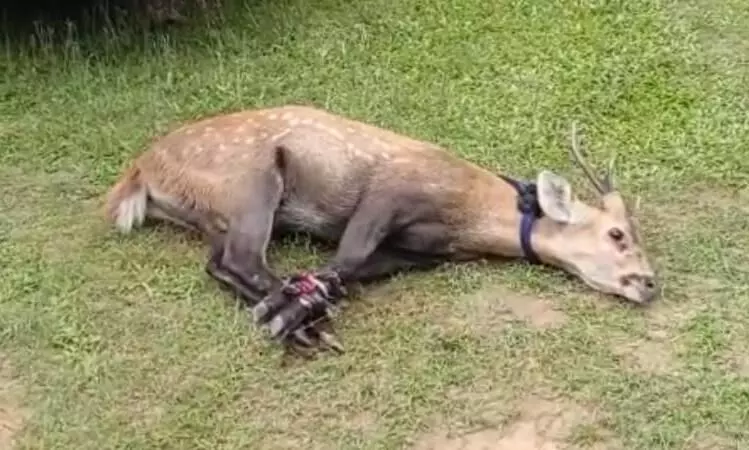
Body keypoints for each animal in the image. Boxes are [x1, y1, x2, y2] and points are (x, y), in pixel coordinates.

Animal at [103, 104, 660, 357]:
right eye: (617, 234)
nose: (650, 282)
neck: (467, 214)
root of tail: (141, 170)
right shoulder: (391, 190)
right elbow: (344, 259)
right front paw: (291, 315)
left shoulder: (417, 254)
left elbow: (353, 270)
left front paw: (297, 312)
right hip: (252, 182)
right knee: (242, 259)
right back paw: (303, 324)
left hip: (220, 213)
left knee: (221, 264)